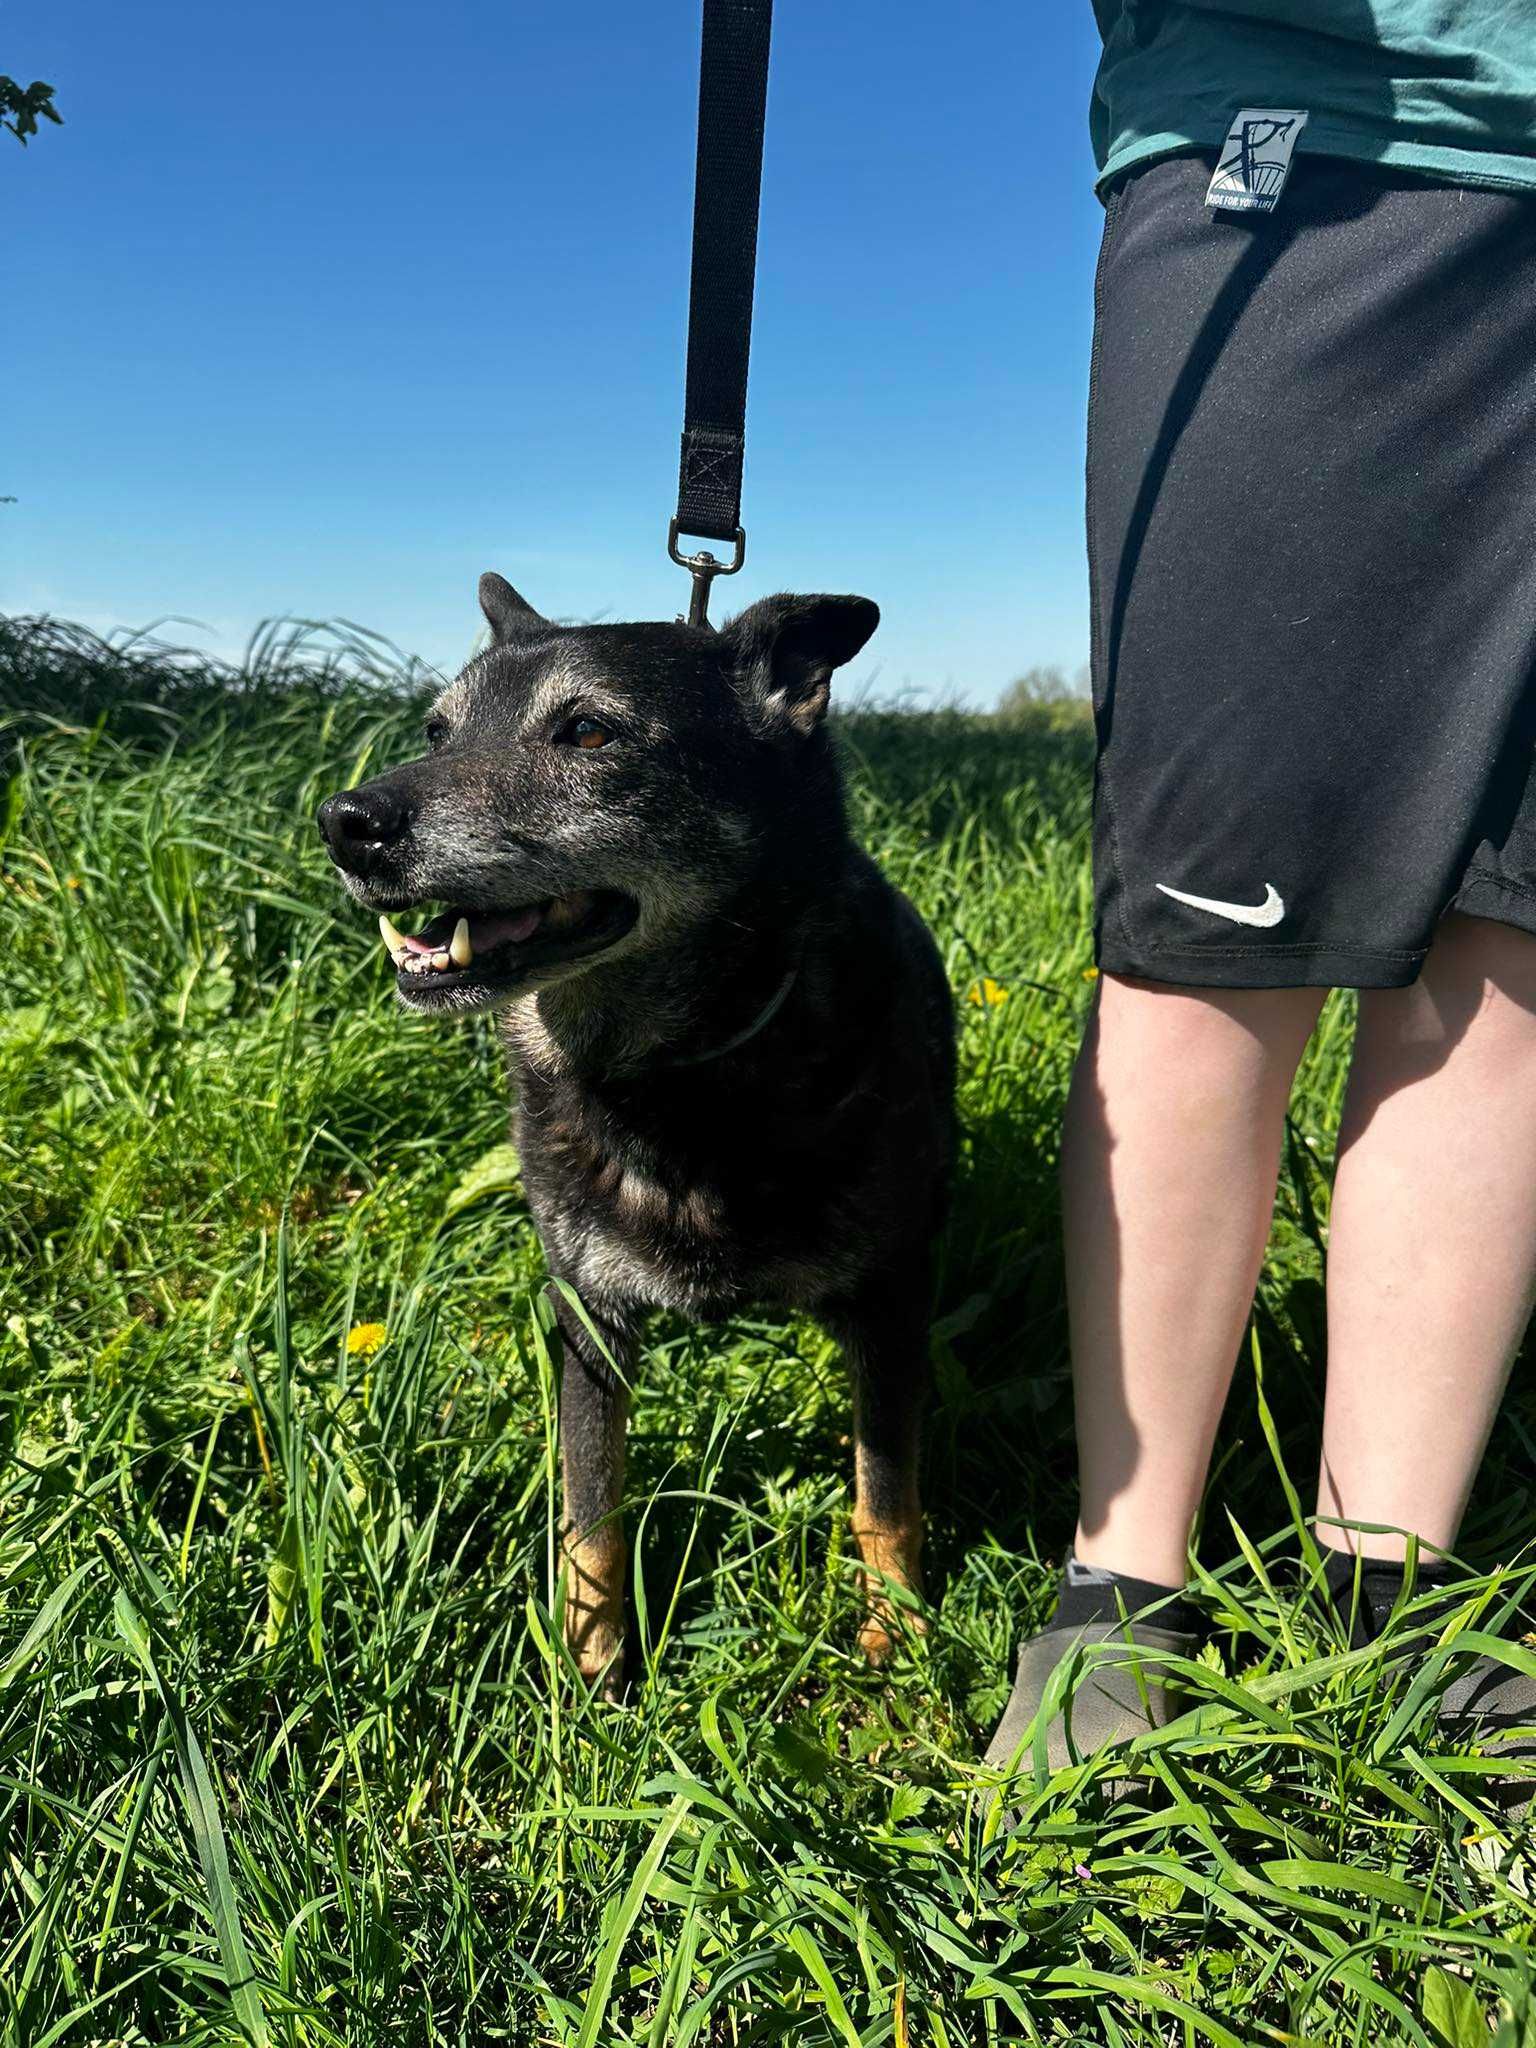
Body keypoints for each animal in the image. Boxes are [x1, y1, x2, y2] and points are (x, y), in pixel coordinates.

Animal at [319, 569, 958, 1687]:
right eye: (437, 729)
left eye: (586, 731)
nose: (345, 820)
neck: (673, 1081)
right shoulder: (587, 1315)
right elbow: (593, 1510)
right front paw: (593, 1666)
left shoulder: (887, 1302)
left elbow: (885, 1487)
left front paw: (898, 1638)